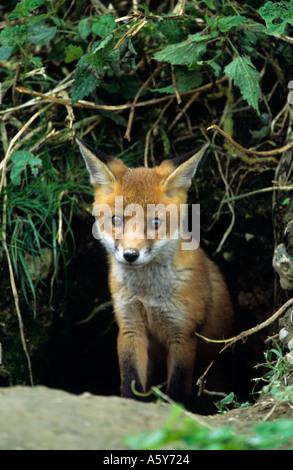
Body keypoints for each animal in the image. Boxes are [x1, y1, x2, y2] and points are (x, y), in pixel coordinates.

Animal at [77, 138, 233, 410]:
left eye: (155, 223)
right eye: (116, 219)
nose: (130, 254)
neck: (147, 296)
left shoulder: (183, 334)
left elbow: (177, 388)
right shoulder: (130, 327)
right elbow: (131, 379)